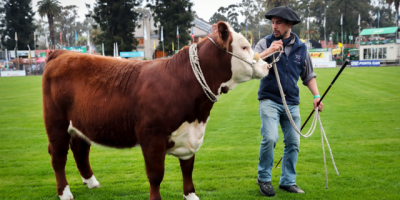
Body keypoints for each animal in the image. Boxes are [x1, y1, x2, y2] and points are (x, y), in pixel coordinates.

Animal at [42, 21, 270, 199]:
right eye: (244, 46)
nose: (267, 66)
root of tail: (62, 52)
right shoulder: (152, 136)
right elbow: (155, 174)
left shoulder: (190, 135)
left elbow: (188, 167)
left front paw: (191, 195)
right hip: (56, 123)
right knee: (58, 156)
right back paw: (64, 193)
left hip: (81, 122)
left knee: (80, 149)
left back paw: (91, 182)